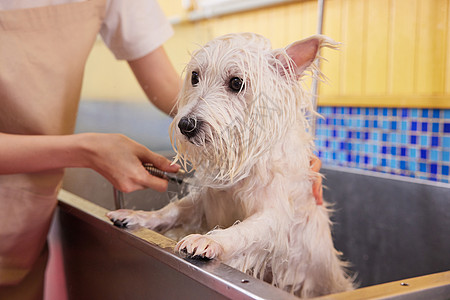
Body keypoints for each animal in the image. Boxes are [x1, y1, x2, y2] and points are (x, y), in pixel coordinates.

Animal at [107, 33, 354, 298]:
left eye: (236, 82)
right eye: (195, 77)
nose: (186, 125)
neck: (241, 161)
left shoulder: (275, 216)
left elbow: (243, 231)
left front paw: (210, 241)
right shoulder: (203, 202)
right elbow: (171, 210)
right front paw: (138, 215)